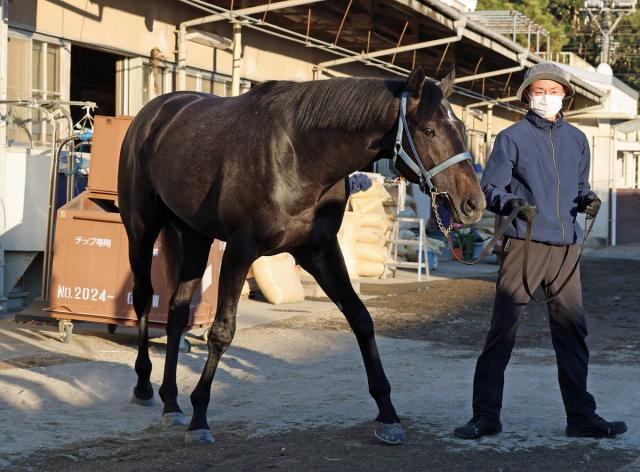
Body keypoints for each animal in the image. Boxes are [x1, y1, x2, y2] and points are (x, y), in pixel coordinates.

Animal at [117, 66, 486, 445]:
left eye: (461, 131)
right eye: (428, 130)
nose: (474, 203)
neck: (297, 155)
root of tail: (154, 113)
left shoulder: (319, 250)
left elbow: (361, 319)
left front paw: (388, 414)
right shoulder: (240, 250)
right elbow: (221, 331)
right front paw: (200, 418)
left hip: (196, 236)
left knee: (177, 310)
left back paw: (171, 403)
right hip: (141, 230)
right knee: (144, 297)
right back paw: (145, 387)